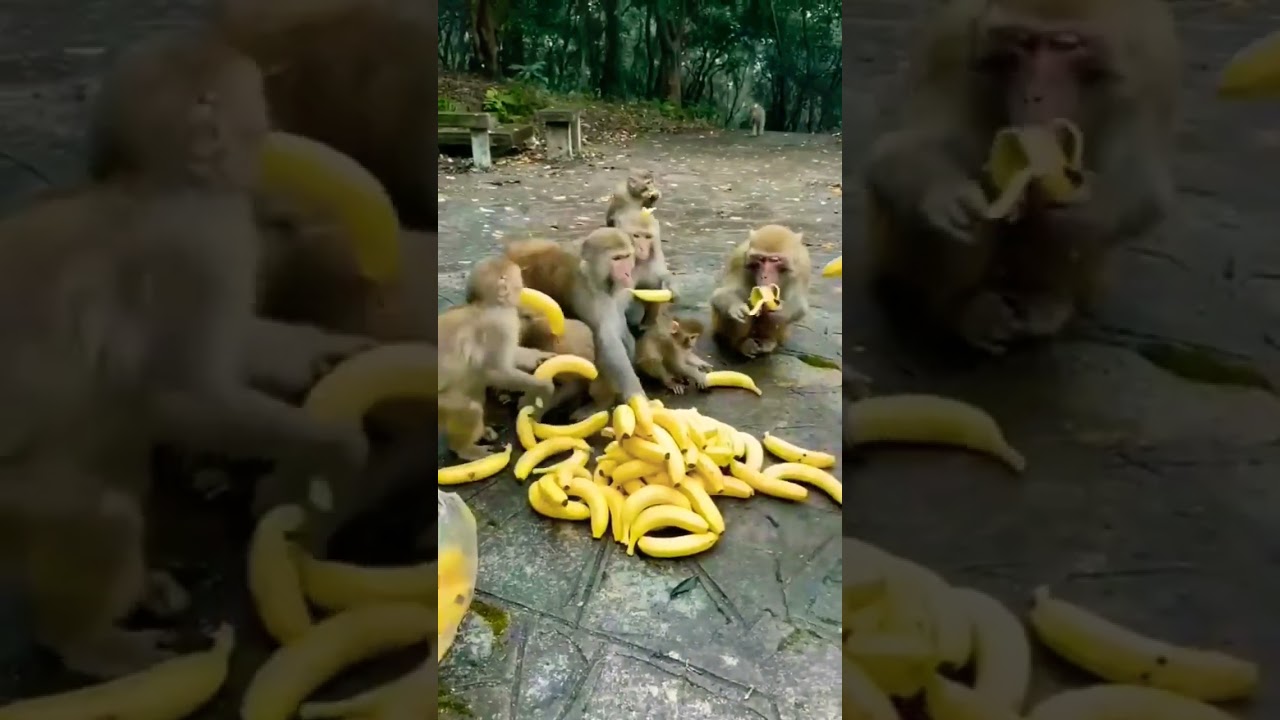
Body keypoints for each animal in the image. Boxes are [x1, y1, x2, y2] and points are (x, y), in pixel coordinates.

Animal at [0, 30, 373, 679]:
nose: (267, 129)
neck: (155, 185)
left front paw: (330, 350)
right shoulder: (202, 246)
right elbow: (184, 396)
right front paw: (337, 446)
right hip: (13, 502)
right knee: (102, 506)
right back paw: (90, 642)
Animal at [506, 228, 647, 405]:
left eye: (627, 256)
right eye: (616, 259)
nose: (627, 273)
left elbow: (619, 323)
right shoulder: (588, 295)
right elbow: (607, 340)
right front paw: (636, 394)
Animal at [710, 225, 812, 358]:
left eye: (775, 260)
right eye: (760, 259)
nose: (764, 276)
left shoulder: (803, 265)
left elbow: (798, 303)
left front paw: (781, 311)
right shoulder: (739, 258)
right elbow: (722, 293)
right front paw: (737, 308)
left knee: (772, 318)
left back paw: (767, 341)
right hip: (718, 326)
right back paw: (742, 344)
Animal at [862, 0, 1180, 354]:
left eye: (1065, 45)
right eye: (1021, 41)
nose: (1034, 96)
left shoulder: (1150, 59)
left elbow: (1142, 182)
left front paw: (1088, 211)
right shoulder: (953, 40)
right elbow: (905, 147)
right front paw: (946, 195)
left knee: (1059, 230)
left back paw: (1043, 299)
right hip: (889, 253)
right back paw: (963, 308)